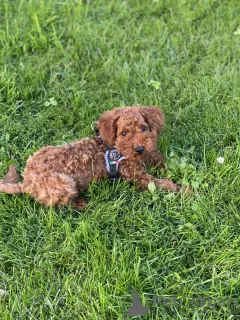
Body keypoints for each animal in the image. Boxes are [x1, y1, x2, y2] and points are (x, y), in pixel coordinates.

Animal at [0, 106, 186, 209]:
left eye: (143, 128)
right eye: (123, 133)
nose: (139, 148)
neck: (113, 147)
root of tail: (26, 182)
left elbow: (157, 158)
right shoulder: (136, 175)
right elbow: (162, 183)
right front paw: (185, 190)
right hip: (64, 182)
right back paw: (80, 203)